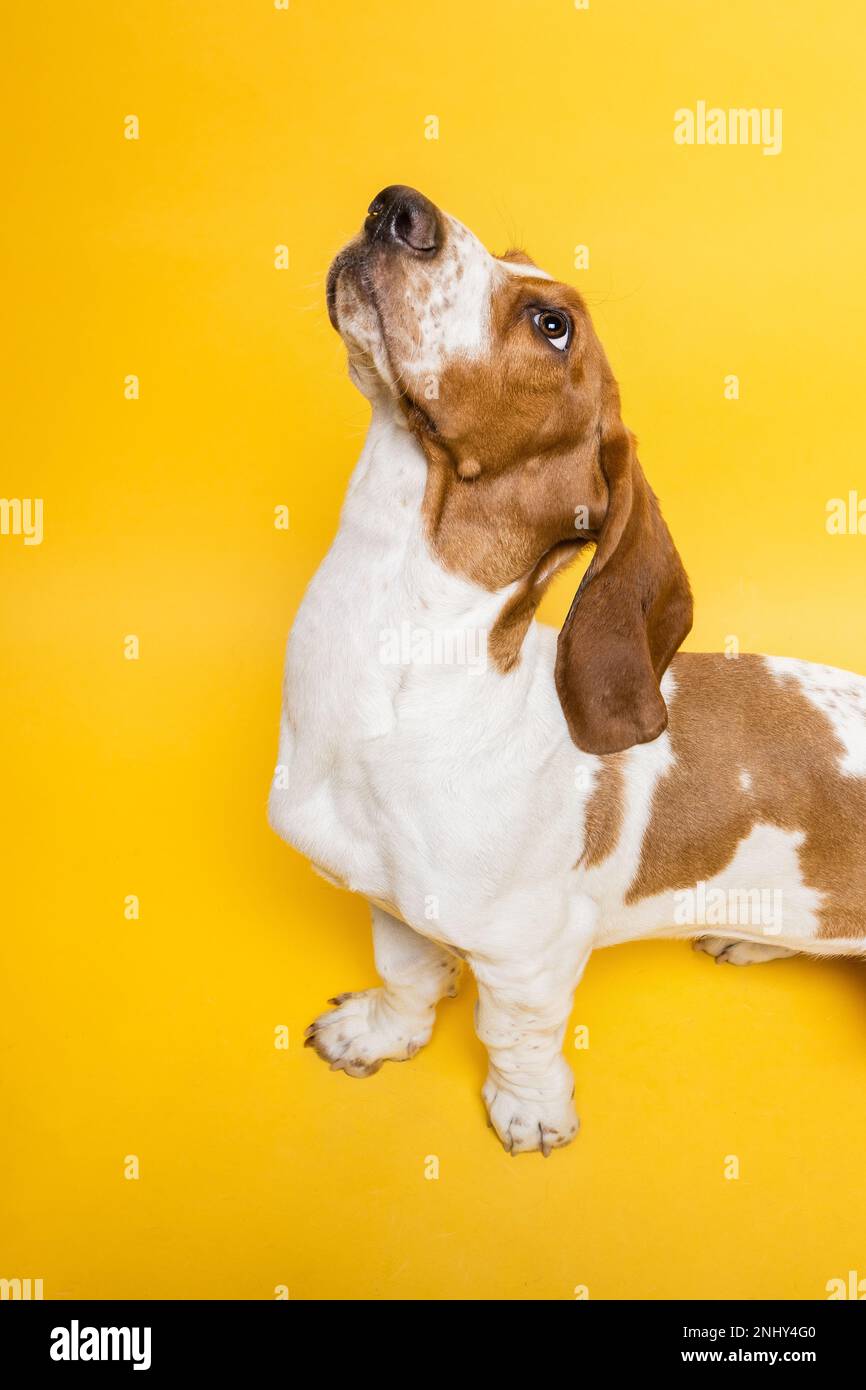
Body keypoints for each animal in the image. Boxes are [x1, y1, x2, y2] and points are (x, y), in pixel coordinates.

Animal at [269, 187, 866, 1162]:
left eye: (553, 326)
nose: (398, 206)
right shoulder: (389, 900)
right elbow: (406, 974)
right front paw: (380, 1033)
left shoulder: (530, 958)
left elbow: (514, 1037)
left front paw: (529, 1109)